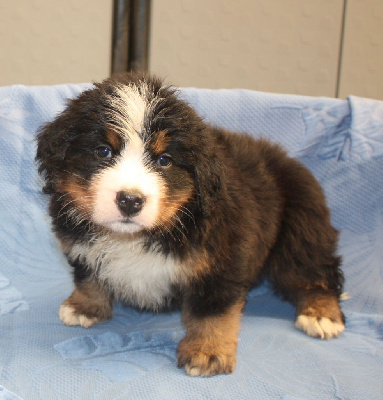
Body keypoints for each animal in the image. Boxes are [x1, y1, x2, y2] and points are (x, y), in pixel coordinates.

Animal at [36, 72, 344, 378]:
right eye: (103, 152)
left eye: (164, 160)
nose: (130, 200)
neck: (137, 237)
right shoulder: (78, 244)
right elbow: (88, 277)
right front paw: (85, 306)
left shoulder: (221, 261)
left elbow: (211, 312)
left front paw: (207, 351)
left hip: (302, 227)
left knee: (312, 272)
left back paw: (321, 314)